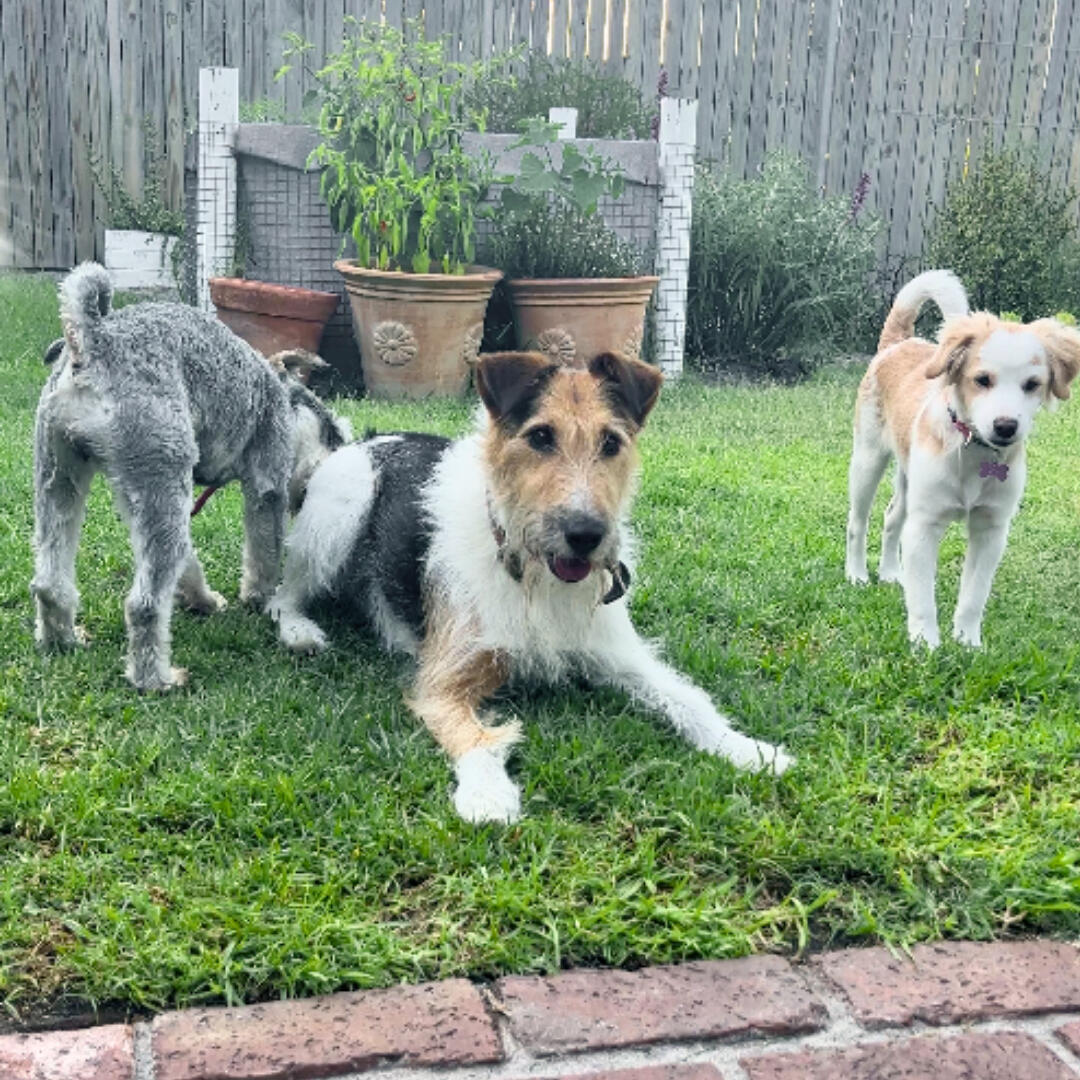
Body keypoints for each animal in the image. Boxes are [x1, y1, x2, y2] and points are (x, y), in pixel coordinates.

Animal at [32, 262, 351, 690]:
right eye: (333, 432)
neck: (280, 394)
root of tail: (93, 340)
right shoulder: (267, 486)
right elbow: (264, 552)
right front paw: (261, 597)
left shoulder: (138, 499)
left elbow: (188, 561)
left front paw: (203, 600)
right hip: (161, 483)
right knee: (144, 604)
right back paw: (157, 679)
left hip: (62, 477)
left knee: (49, 583)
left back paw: (63, 640)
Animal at [268, 349, 793, 824]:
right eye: (540, 436)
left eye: (611, 442)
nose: (586, 535)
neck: (531, 575)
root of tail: (361, 441)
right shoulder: (443, 679)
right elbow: (476, 737)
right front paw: (487, 795)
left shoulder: (621, 656)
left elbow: (688, 699)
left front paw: (747, 748)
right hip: (340, 512)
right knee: (280, 593)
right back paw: (298, 631)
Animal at [845, 268, 1080, 648]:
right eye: (982, 379)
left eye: (1032, 384)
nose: (1005, 426)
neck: (973, 450)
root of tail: (899, 343)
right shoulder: (925, 526)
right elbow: (923, 598)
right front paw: (925, 644)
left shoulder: (991, 528)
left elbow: (974, 595)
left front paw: (968, 642)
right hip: (867, 458)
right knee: (858, 522)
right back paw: (856, 574)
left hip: (909, 475)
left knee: (893, 516)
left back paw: (891, 572)